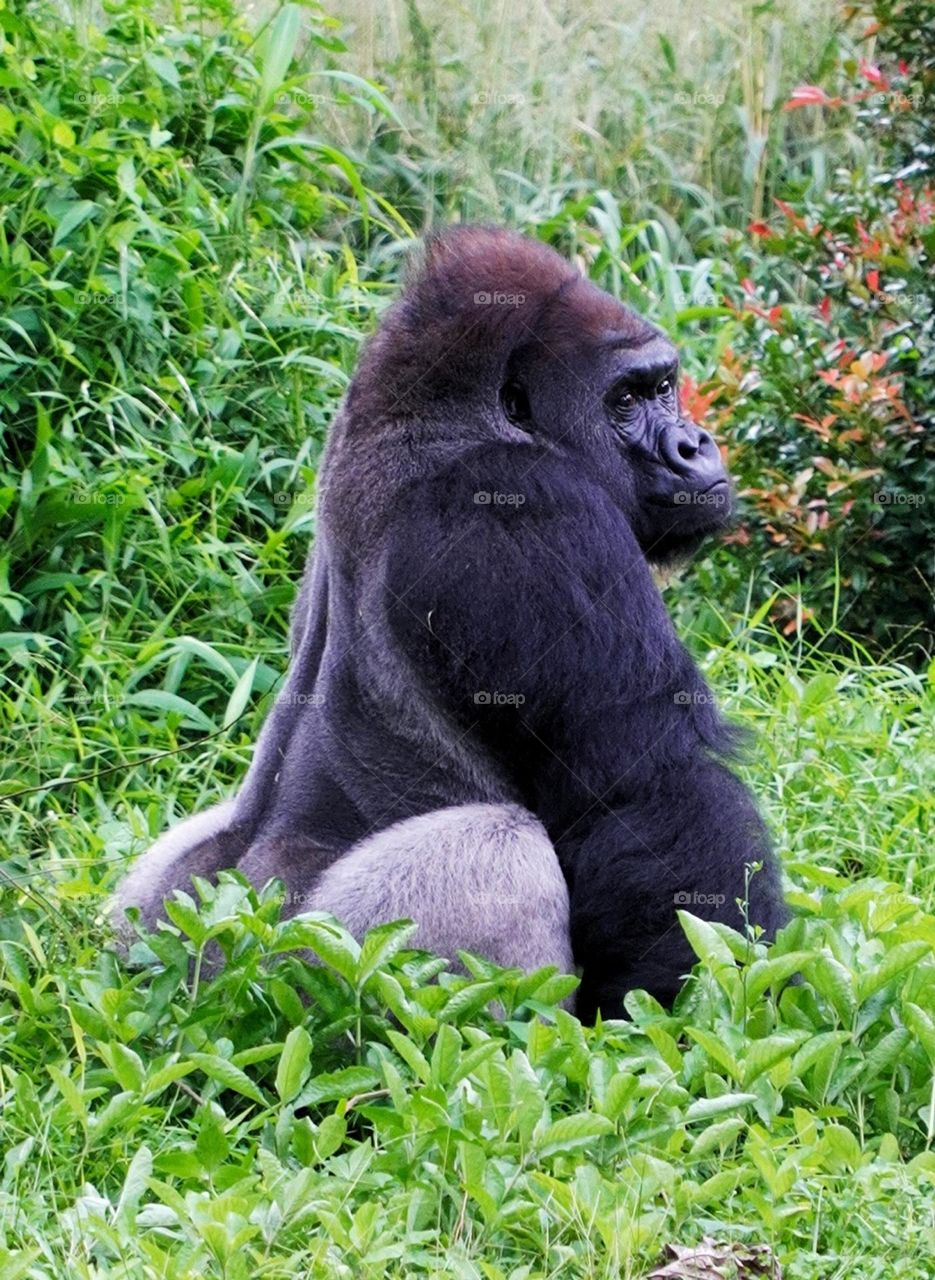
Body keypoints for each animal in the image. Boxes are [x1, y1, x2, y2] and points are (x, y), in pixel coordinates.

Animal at [116, 222, 788, 1018]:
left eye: (664, 387)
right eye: (626, 398)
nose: (695, 444)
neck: (437, 417)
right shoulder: (525, 502)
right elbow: (652, 788)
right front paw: (698, 1015)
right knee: (497, 846)